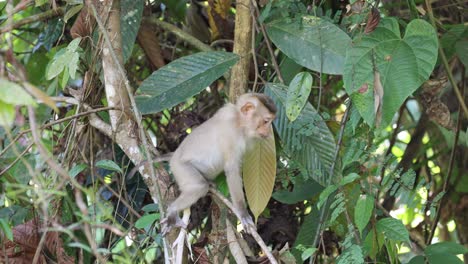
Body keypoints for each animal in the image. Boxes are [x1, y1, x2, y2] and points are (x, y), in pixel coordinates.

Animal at [162, 93, 278, 235]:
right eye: (266, 121)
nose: (268, 132)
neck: (239, 121)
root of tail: (174, 155)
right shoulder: (231, 133)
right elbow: (232, 170)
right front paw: (243, 213)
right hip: (180, 167)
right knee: (199, 187)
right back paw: (172, 210)